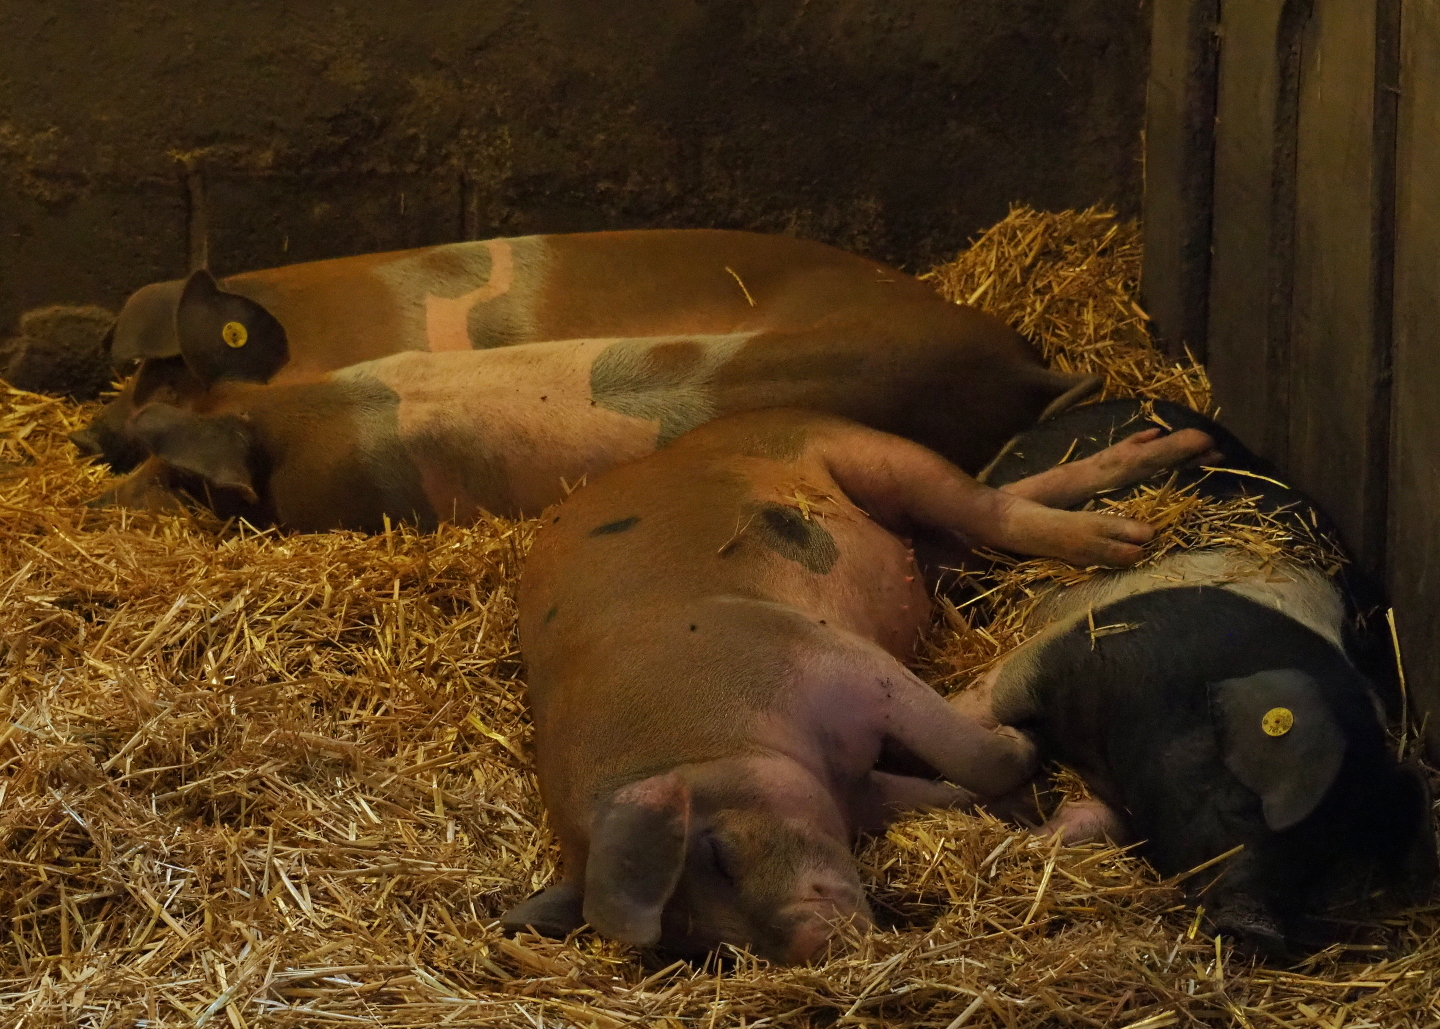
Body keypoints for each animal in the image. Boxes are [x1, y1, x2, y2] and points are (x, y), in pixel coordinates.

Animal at [502, 407, 1217, 962]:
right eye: (712, 953)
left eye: (719, 855)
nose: (812, 947)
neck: (706, 739)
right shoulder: (858, 789)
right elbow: (939, 793)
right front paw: (1030, 802)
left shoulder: (832, 658)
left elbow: (971, 754)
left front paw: (1025, 749)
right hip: (923, 537)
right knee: (998, 502)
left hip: (863, 449)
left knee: (988, 505)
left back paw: (1138, 528)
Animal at [953, 399, 1436, 955]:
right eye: (1250, 801)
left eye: (1328, 855)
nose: (1259, 928)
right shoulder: (1070, 647)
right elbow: (988, 696)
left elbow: (1089, 823)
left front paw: (1030, 837)